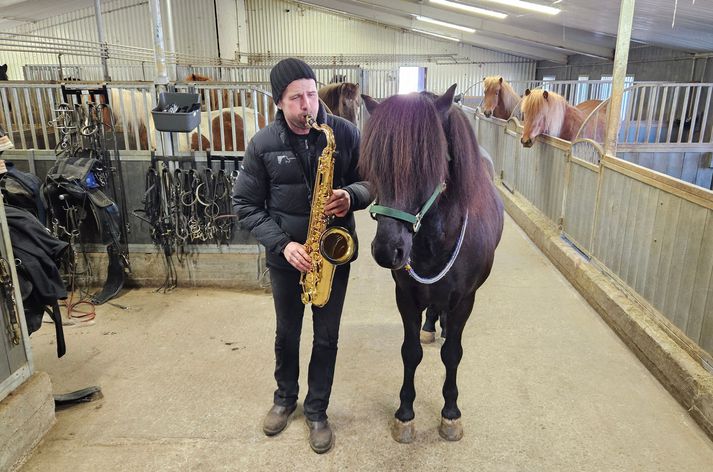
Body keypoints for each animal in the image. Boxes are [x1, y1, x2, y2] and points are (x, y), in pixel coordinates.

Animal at [358, 86, 504, 444]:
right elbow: (410, 352)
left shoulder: (466, 299)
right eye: (376, 166)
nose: (388, 251)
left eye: (429, 164)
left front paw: (450, 413)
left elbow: (452, 354)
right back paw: (430, 326)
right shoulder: (406, 296)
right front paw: (405, 414)